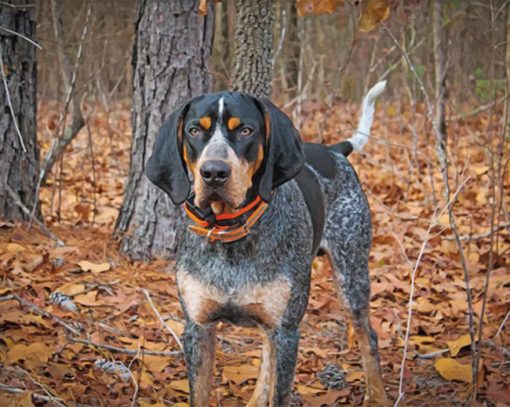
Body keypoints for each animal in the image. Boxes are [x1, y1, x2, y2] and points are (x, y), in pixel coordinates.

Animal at [145, 81, 388, 406]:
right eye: (194, 130)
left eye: (246, 130)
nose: (213, 173)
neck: (231, 235)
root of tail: (334, 150)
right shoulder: (198, 328)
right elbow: (202, 392)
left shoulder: (287, 331)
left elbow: (280, 391)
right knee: (266, 352)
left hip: (352, 275)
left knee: (367, 336)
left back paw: (379, 396)